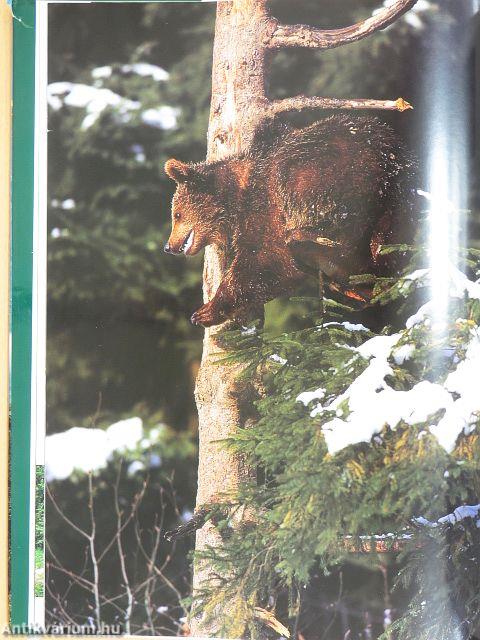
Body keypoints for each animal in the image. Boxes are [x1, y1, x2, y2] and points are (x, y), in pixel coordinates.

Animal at [164, 112, 416, 328]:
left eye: (176, 214)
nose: (168, 246)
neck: (235, 199)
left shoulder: (266, 206)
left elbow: (263, 260)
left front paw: (206, 311)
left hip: (332, 176)